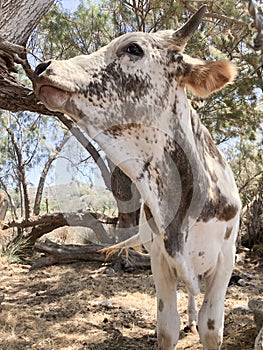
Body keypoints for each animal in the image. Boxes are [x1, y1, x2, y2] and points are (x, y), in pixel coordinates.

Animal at [34, 6, 242, 350]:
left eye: (134, 48)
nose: (42, 68)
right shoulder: (160, 258)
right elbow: (167, 328)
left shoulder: (226, 259)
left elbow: (212, 328)